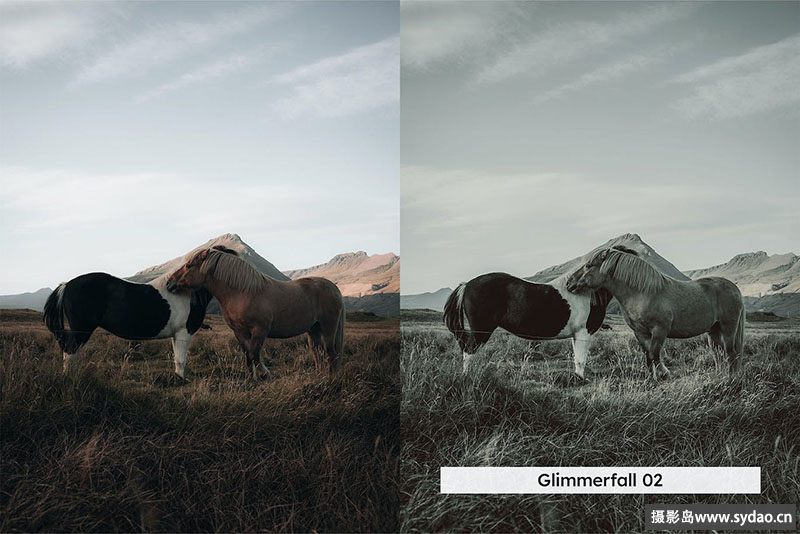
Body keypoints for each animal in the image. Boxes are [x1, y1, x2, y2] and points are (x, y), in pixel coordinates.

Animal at [43, 246, 233, 376]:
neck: (188, 293)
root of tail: (66, 284)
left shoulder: (176, 335)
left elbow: (177, 360)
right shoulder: (184, 333)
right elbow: (181, 361)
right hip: (81, 329)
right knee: (69, 354)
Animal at [166, 248, 344, 378]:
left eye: (188, 266)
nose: (169, 283)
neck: (242, 293)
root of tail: (334, 288)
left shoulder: (260, 331)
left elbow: (254, 355)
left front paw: (265, 375)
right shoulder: (239, 332)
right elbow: (247, 356)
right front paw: (252, 380)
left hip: (328, 327)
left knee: (330, 353)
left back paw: (330, 378)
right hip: (313, 330)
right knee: (317, 352)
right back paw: (319, 375)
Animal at [568, 248, 744, 382]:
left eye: (588, 265)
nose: (569, 282)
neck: (642, 293)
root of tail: (734, 288)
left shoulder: (659, 330)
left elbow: (654, 354)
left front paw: (663, 374)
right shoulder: (640, 333)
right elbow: (648, 356)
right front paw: (651, 379)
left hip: (728, 328)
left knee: (730, 352)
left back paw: (731, 378)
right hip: (713, 330)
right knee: (718, 353)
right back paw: (720, 376)